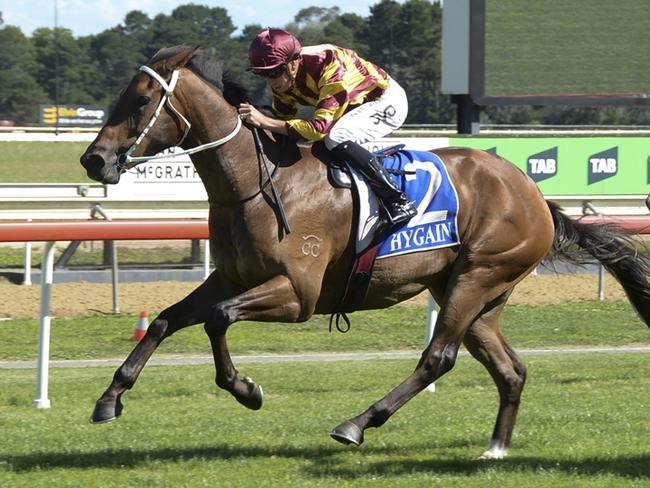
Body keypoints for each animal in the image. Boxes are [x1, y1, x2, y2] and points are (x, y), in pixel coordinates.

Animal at [78, 47, 644, 460]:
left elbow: (217, 319)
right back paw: (495, 450)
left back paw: (356, 423)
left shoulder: (297, 294)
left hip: (478, 277)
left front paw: (245, 388)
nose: (93, 160)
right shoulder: (231, 278)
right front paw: (109, 399)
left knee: (438, 357)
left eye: (141, 101)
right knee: (510, 370)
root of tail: (532, 192)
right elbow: (164, 321)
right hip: (477, 292)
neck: (259, 182)